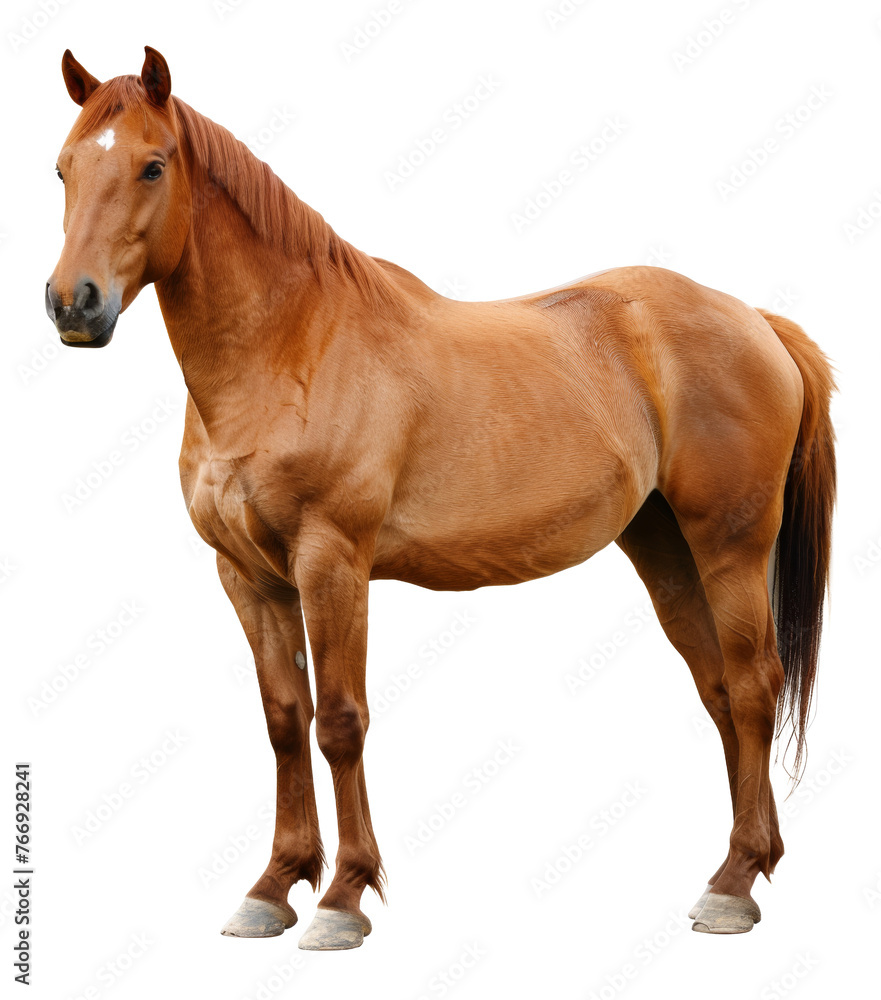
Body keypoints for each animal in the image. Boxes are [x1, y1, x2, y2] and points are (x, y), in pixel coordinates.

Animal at [46, 47, 836, 948]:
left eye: (152, 165)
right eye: (64, 168)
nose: (73, 305)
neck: (290, 346)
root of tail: (756, 319)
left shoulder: (332, 564)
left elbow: (338, 720)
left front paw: (342, 898)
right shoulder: (248, 577)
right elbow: (283, 722)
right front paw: (274, 887)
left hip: (729, 546)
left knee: (754, 685)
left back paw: (736, 883)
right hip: (664, 548)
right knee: (718, 691)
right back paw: (739, 867)